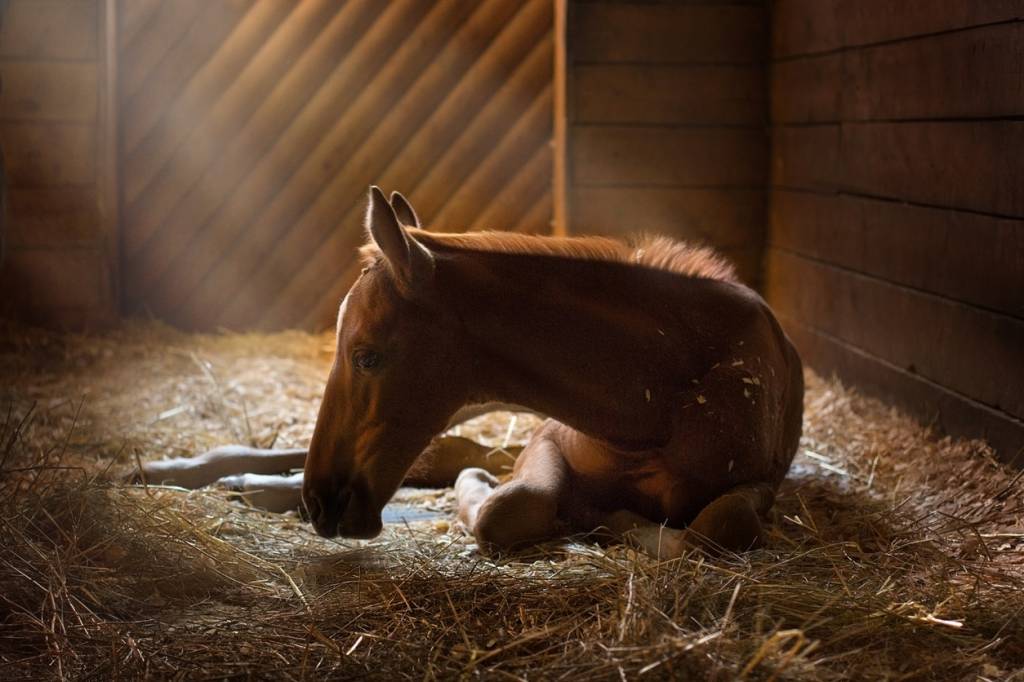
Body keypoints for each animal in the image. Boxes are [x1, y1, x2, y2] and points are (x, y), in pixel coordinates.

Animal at [140, 187, 802, 557]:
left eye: (366, 355)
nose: (324, 503)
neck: (663, 395)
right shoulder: (545, 438)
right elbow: (514, 503)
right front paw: (480, 490)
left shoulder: (758, 482)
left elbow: (721, 525)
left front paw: (620, 523)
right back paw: (207, 475)